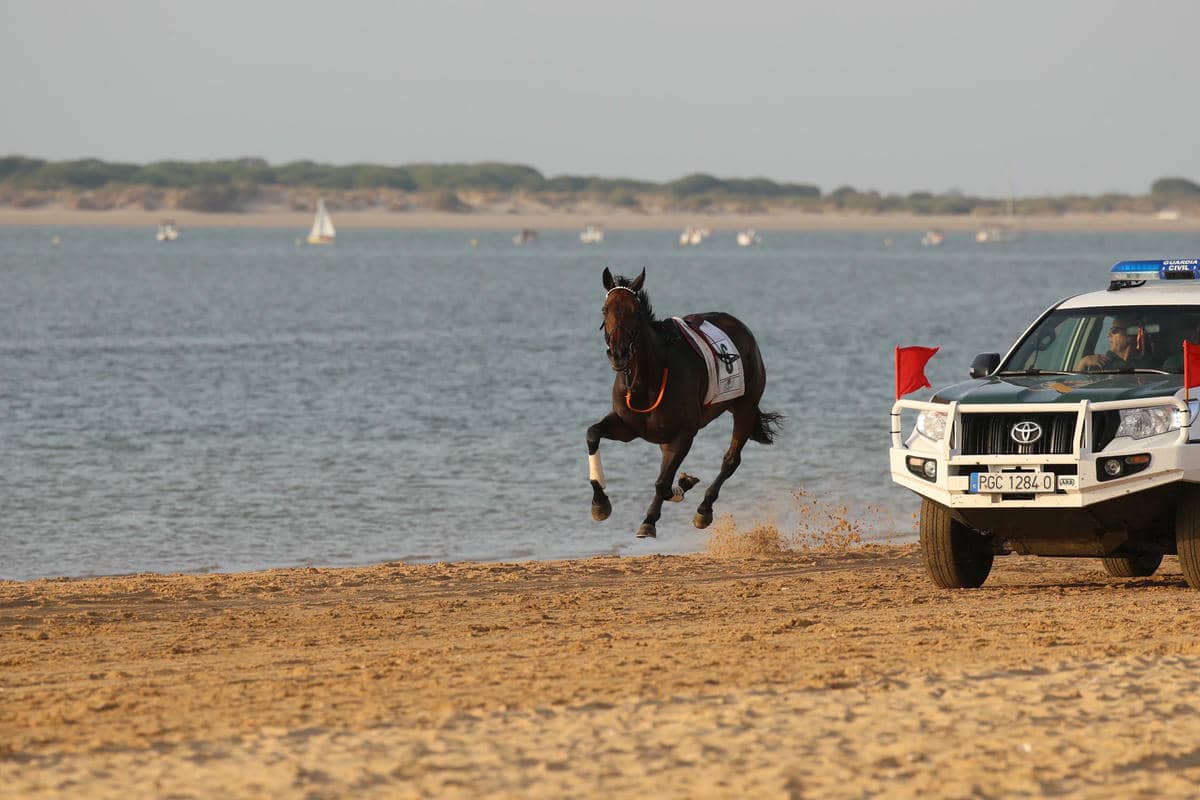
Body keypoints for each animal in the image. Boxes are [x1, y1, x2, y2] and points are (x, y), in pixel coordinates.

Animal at [586, 267, 783, 539]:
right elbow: (593, 434)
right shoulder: (628, 426)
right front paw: (600, 503)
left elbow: (662, 482)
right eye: (605, 310)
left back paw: (704, 509)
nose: (618, 353)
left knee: (731, 460)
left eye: (635, 311)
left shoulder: (684, 432)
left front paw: (651, 518)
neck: (649, 378)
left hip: (745, 407)